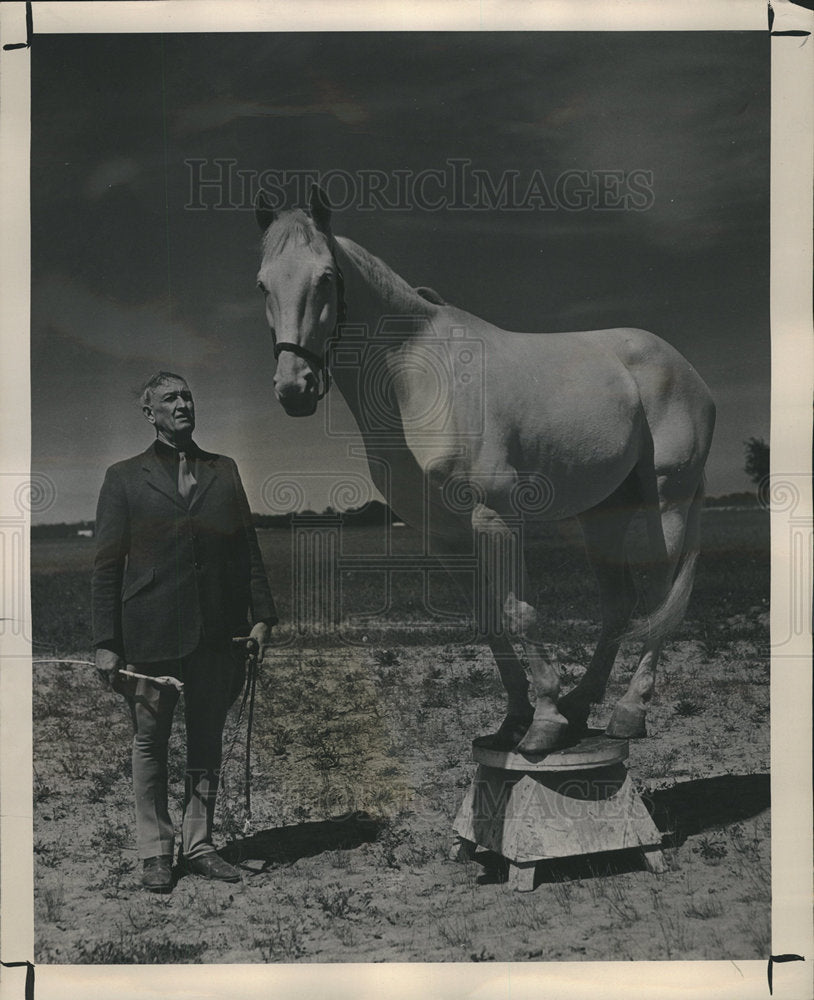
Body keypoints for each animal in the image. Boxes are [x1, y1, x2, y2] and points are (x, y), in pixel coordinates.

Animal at [253, 186, 712, 752]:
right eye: (263, 284)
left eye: (325, 278)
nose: (294, 387)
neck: (417, 378)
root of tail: (685, 369)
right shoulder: (445, 534)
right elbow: (488, 620)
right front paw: (514, 717)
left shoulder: (495, 517)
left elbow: (519, 612)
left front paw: (543, 725)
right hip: (603, 514)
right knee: (620, 605)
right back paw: (583, 704)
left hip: (667, 502)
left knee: (661, 598)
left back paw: (628, 711)